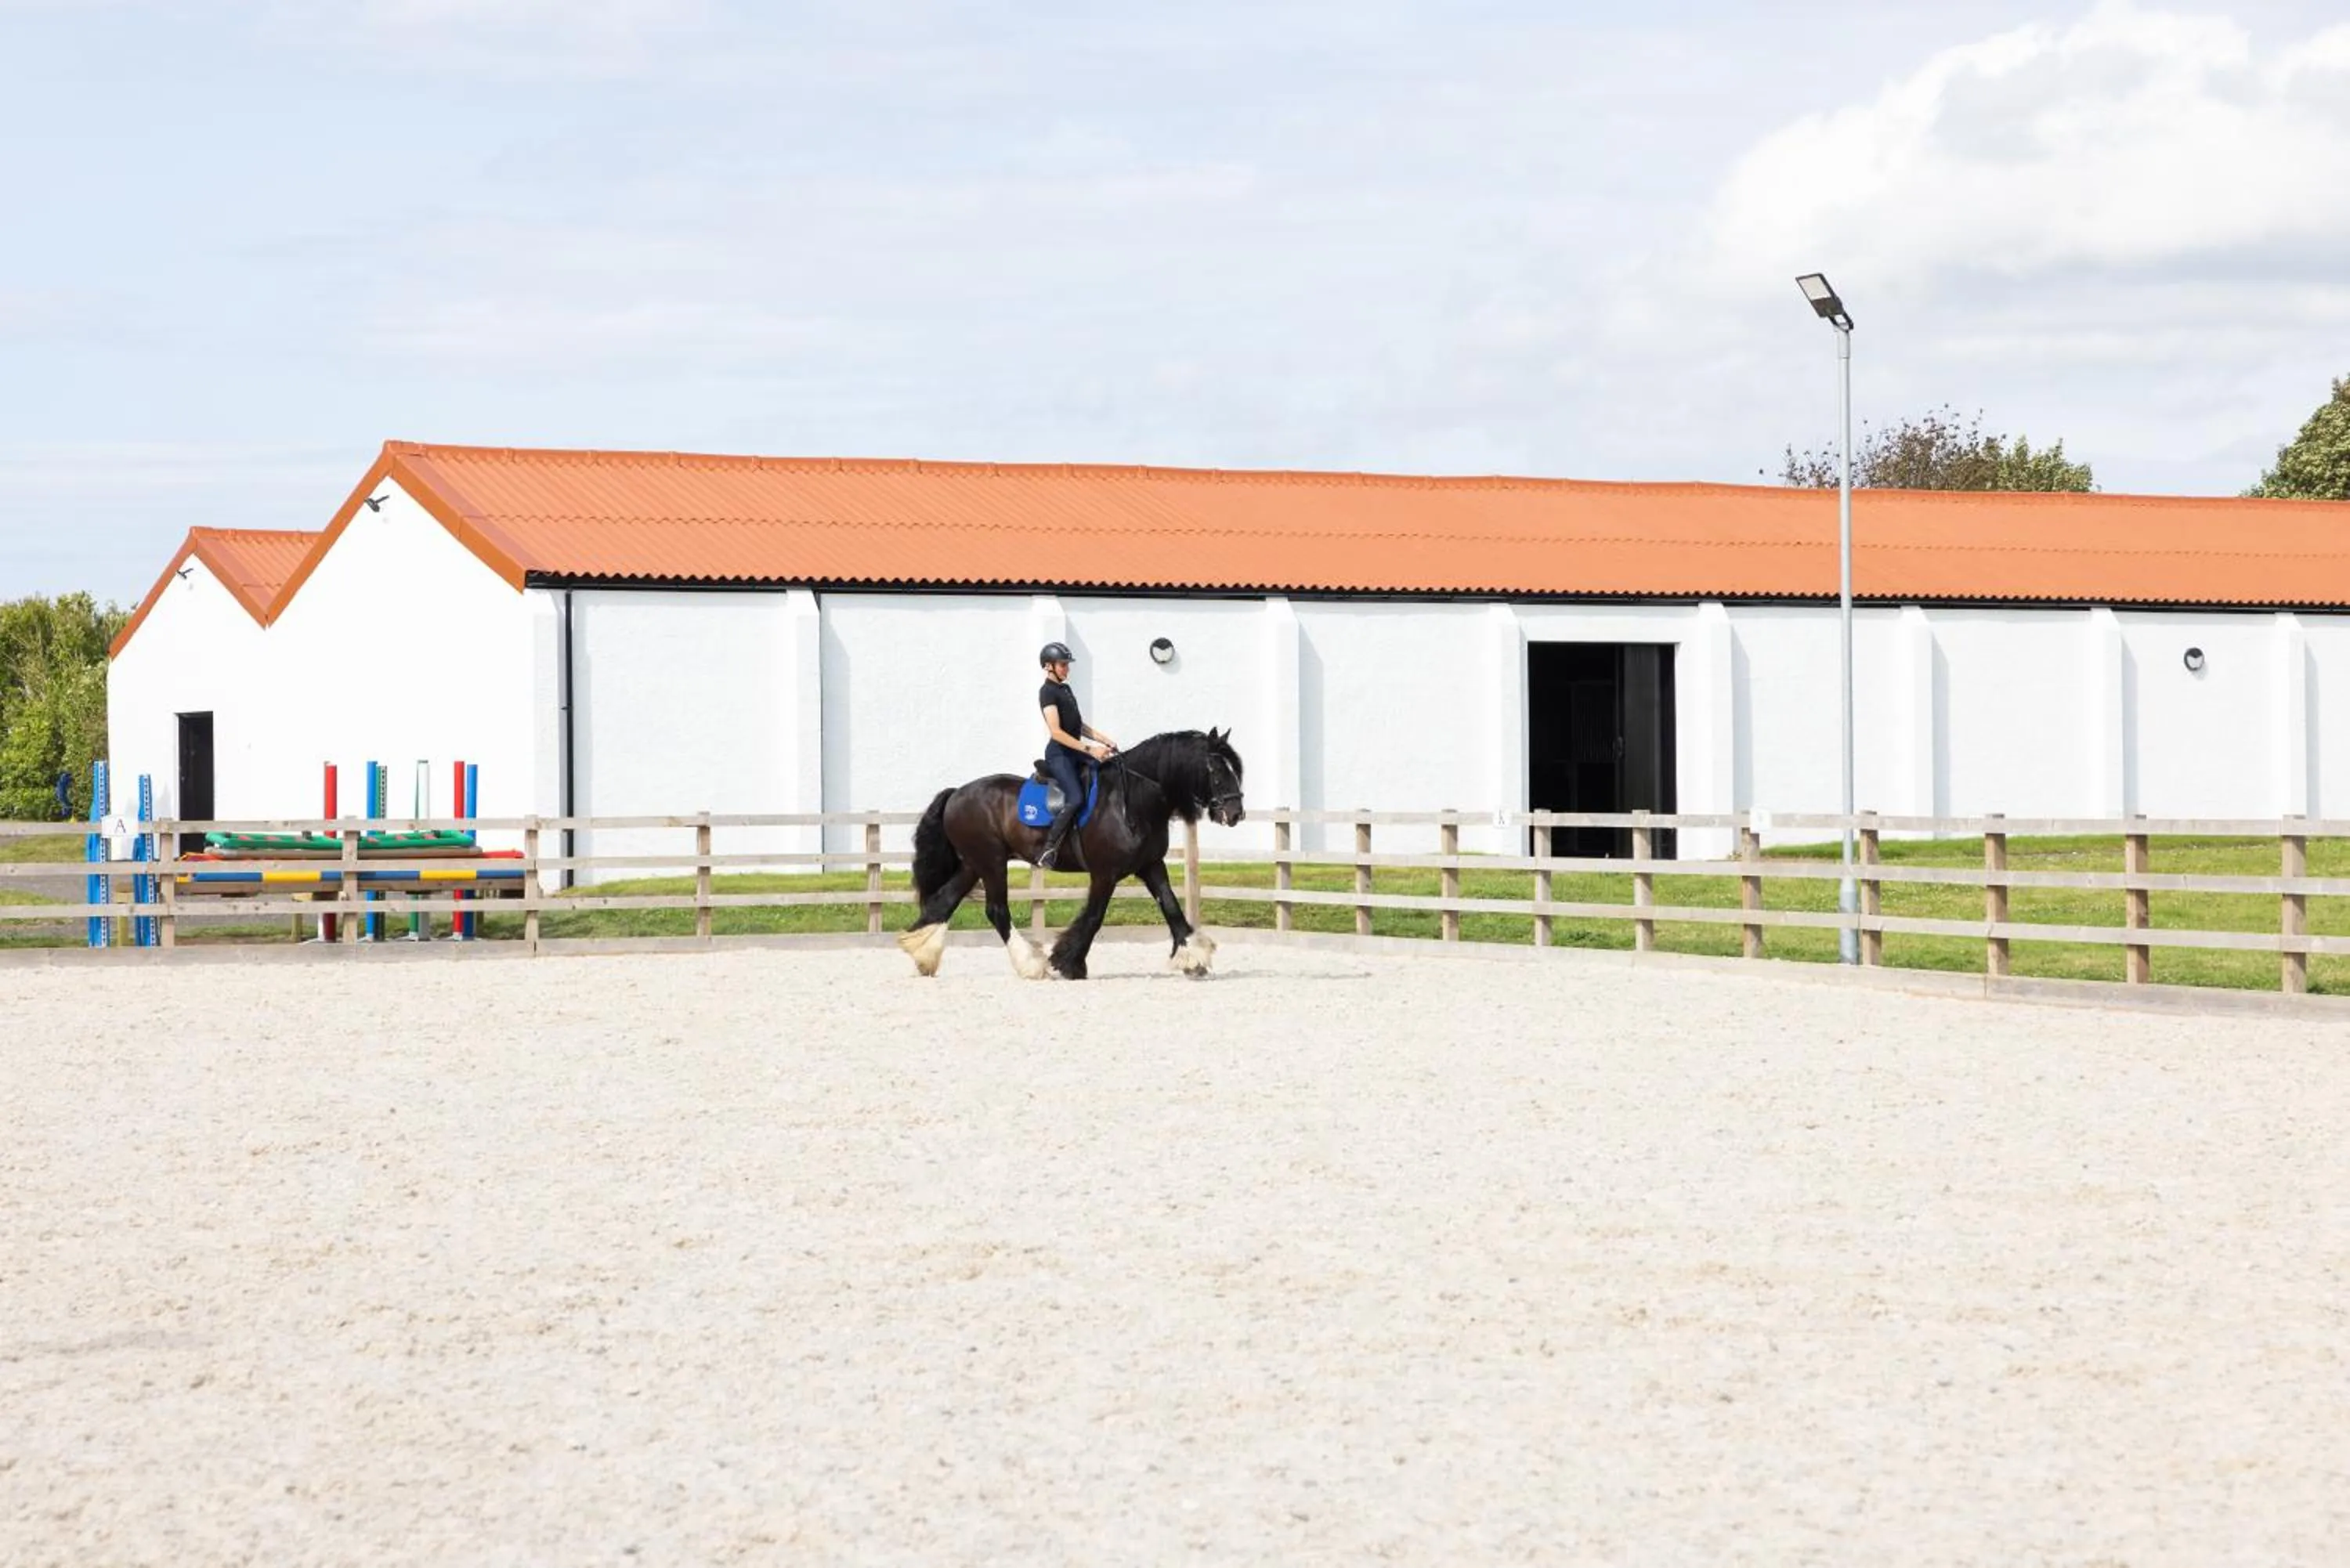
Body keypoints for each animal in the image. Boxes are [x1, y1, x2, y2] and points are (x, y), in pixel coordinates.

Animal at [896, 728, 1246, 980]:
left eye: (1235, 770)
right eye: (1216, 772)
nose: (1236, 813)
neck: (1132, 801)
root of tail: (957, 793)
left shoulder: (1150, 865)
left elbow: (1171, 907)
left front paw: (1193, 957)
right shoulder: (1105, 873)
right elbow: (1094, 916)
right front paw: (1069, 963)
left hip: (974, 864)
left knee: (943, 902)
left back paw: (922, 954)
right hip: (991, 862)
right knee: (997, 910)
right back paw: (1030, 965)